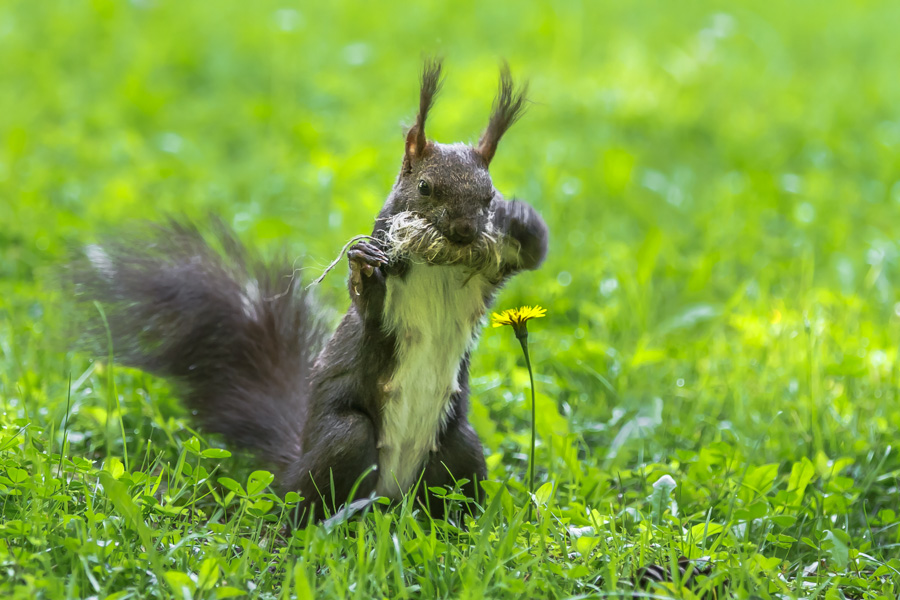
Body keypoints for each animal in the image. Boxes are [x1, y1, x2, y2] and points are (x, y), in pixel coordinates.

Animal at [74, 58, 548, 524]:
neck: (440, 268)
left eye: (489, 196)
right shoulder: (384, 305)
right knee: (313, 497)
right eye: (425, 187)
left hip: (460, 445)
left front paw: (521, 216)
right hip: (345, 439)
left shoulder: (492, 271)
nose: (465, 231)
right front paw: (364, 262)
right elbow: (368, 307)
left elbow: (535, 252)